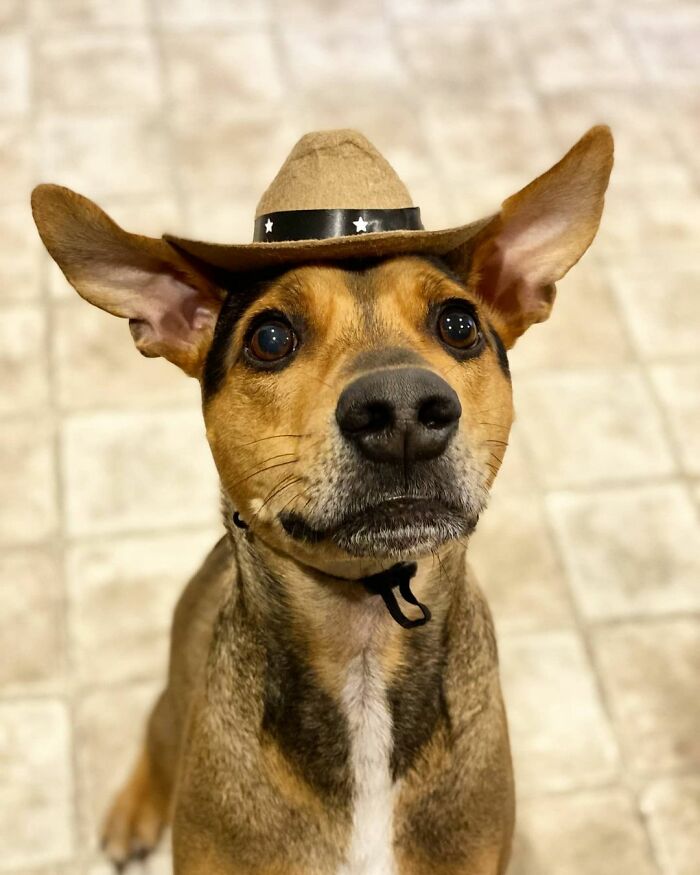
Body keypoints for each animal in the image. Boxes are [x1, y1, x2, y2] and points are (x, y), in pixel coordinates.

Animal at [32, 125, 612, 875]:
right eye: (270, 336)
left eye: (459, 324)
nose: (403, 409)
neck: (362, 646)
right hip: (172, 696)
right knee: (156, 733)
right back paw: (134, 809)